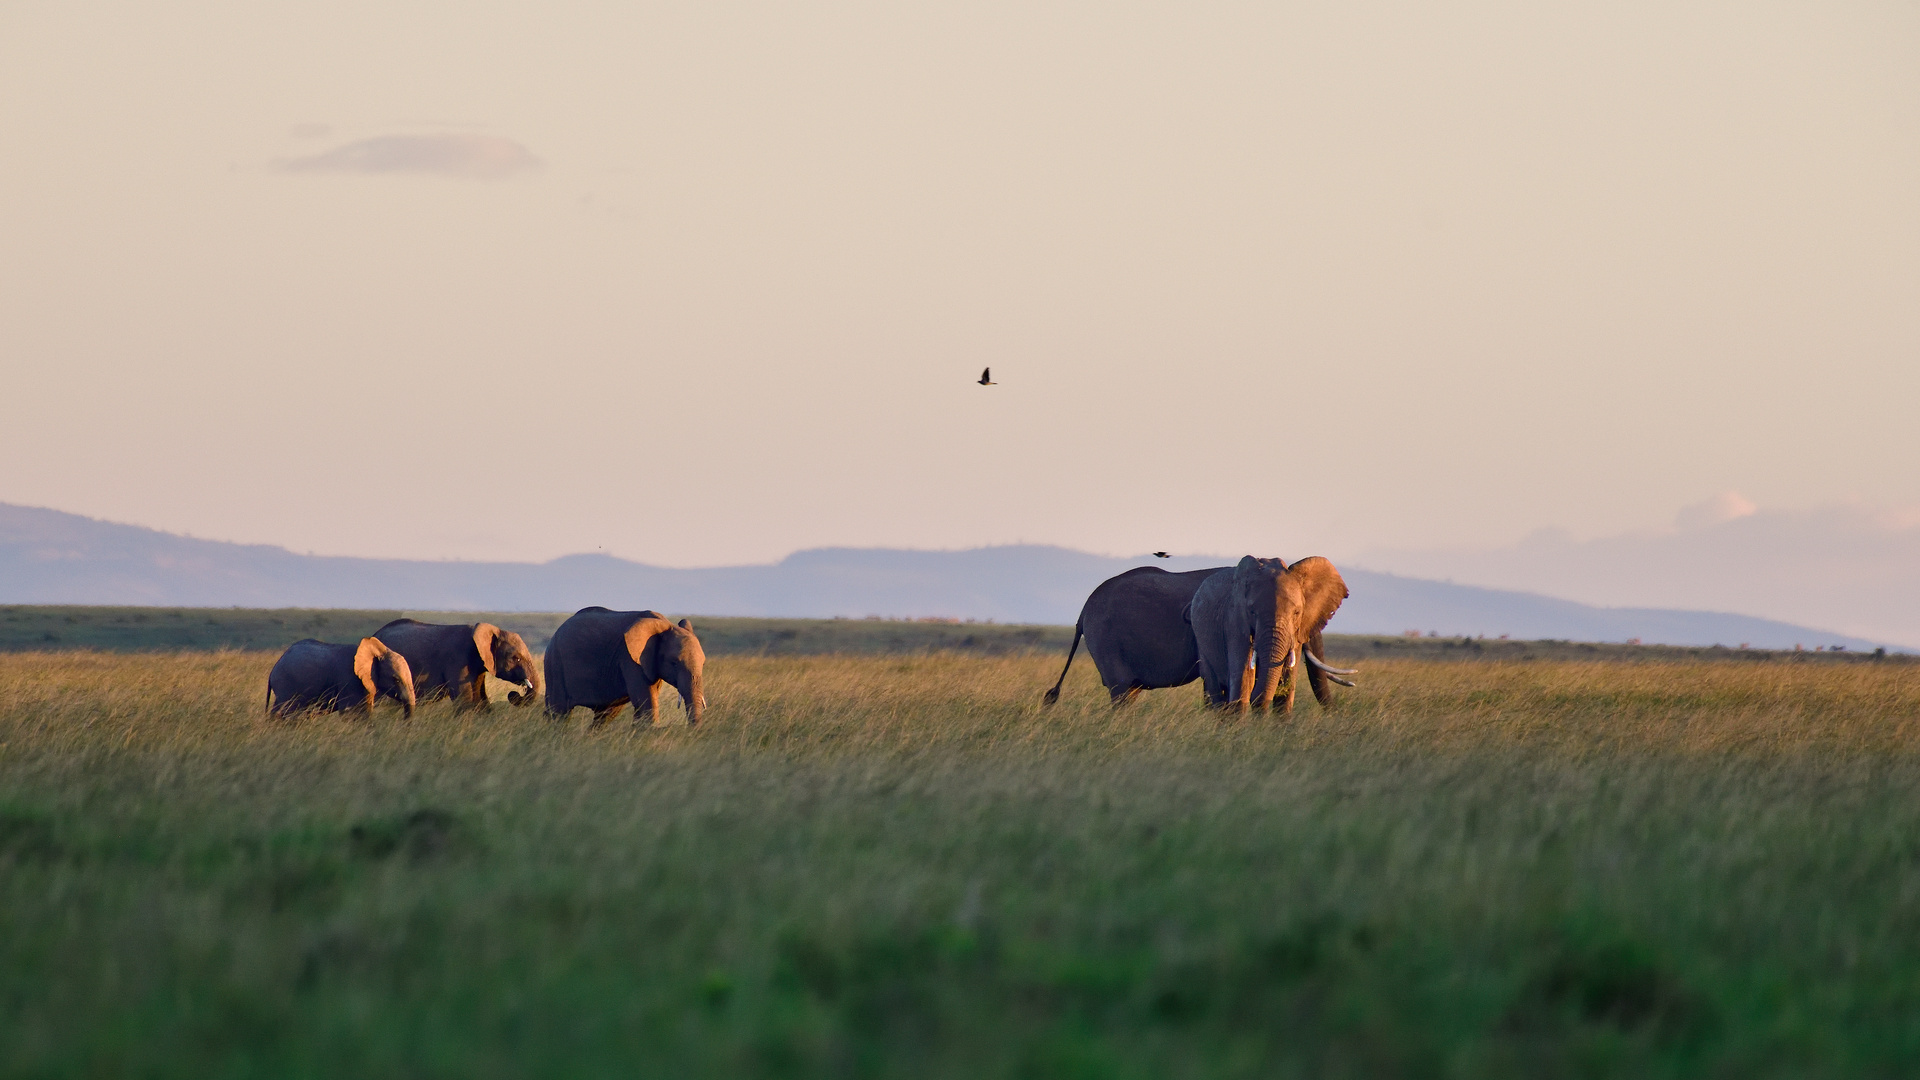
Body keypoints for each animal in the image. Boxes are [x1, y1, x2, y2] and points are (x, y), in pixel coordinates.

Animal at [266, 634, 416, 718]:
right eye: (396, 679)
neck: (377, 651)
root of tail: (274, 669)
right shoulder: (349, 679)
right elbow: (353, 712)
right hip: (286, 685)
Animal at [545, 607, 710, 722]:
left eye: (703, 664)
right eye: (674, 663)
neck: (665, 626)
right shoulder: (629, 659)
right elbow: (645, 701)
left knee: (605, 716)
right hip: (555, 662)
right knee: (559, 711)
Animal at [1190, 549, 1359, 711]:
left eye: (1297, 613)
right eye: (1252, 612)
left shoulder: (1294, 634)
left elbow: (1287, 686)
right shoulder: (1235, 621)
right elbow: (1243, 679)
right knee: (1216, 691)